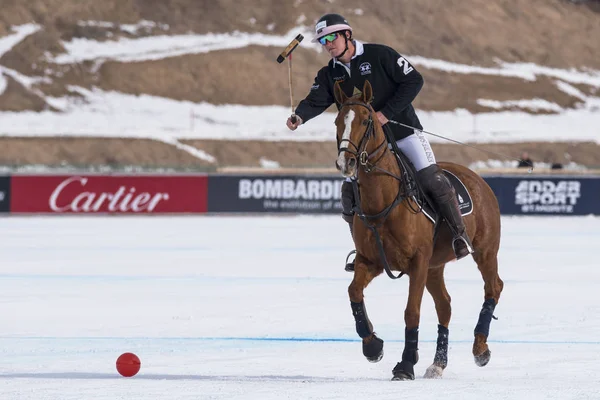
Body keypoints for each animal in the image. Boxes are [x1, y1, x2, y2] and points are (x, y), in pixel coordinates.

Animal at [336, 79, 504, 380]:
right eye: (336, 121)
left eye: (367, 120)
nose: (347, 163)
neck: (384, 199)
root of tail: (478, 178)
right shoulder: (372, 261)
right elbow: (354, 292)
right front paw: (373, 346)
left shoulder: (417, 261)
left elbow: (411, 311)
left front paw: (405, 364)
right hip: (435, 265)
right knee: (445, 305)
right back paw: (438, 363)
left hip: (485, 250)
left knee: (493, 287)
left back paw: (480, 348)